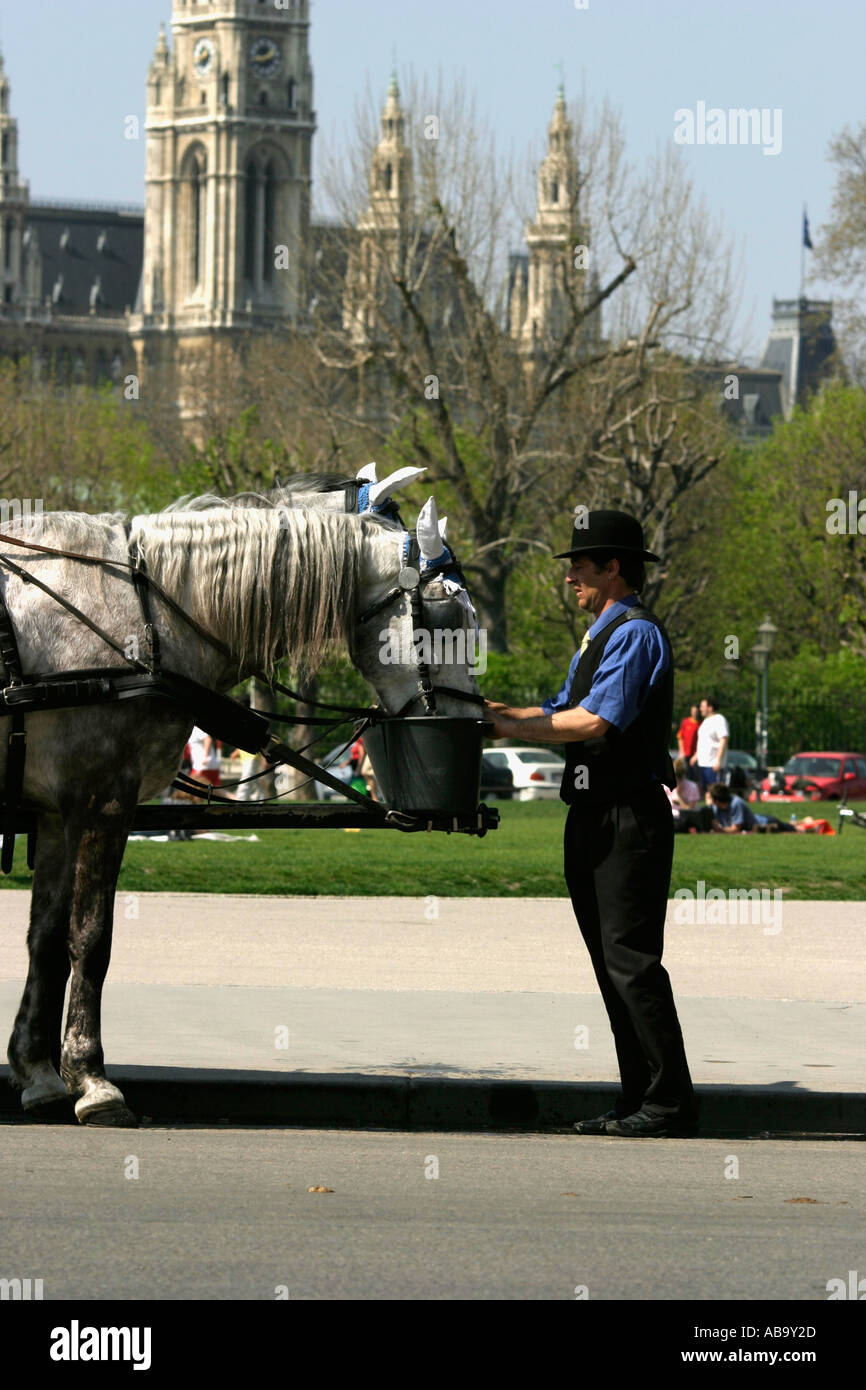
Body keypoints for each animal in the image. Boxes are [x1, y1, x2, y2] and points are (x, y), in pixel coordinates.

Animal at [1, 485, 481, 1127]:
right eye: (452, 615)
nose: (475, 720)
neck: (142, 610)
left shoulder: (59, 811)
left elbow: (47, 938)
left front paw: (38, 1068)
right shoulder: (103, 800)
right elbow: (90, 936)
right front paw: (91, 1076)